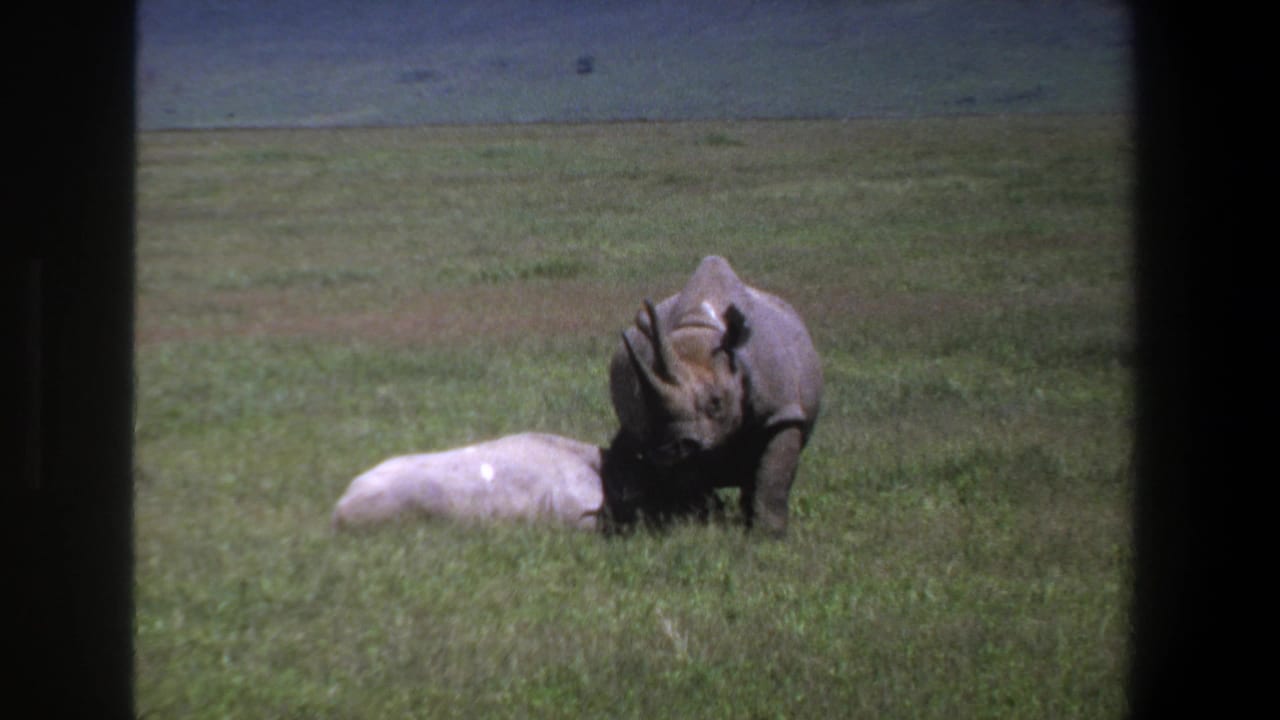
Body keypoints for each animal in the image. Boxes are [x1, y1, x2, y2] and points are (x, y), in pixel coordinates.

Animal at [608, 255, 822, 535]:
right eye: (645, 402)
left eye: (716, 403)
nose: (675, 446)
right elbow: (689, 480)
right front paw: (698, 526)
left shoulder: (781, 411)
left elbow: (773, 474)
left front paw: (767, 536)